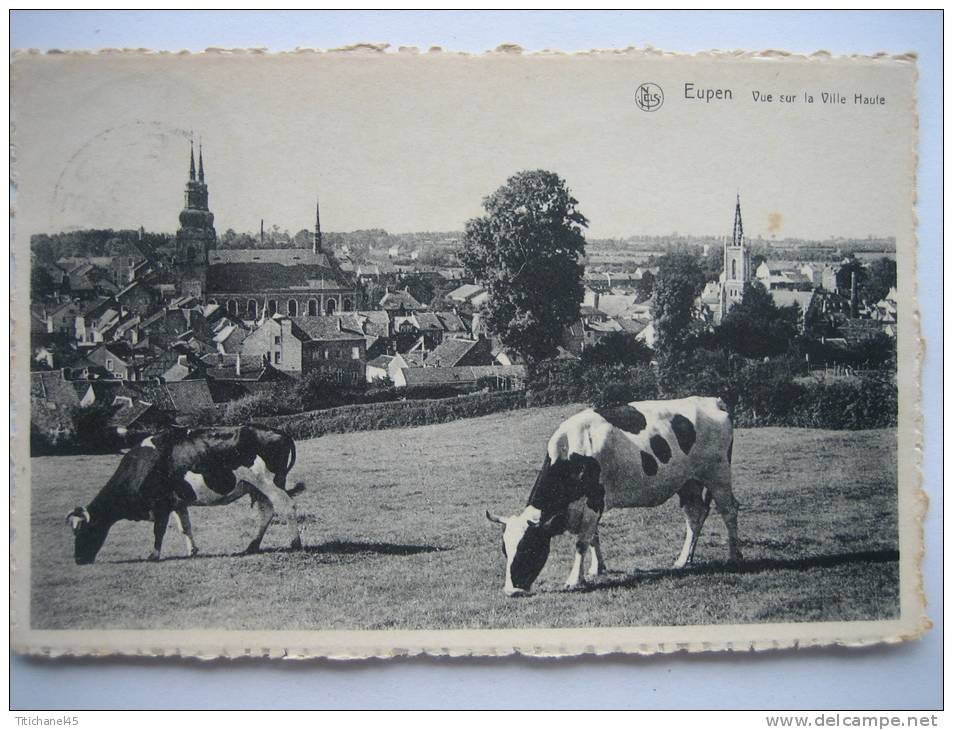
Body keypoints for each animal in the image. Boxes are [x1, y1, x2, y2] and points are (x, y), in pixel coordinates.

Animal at [65, 420, 304, 564]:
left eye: (84, 530)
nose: (78, 560)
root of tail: (278, 431)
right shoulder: (177, 502)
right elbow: (185, 527)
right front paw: (192, 551)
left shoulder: (161, 503)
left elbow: (158, 530)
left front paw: (153, 555)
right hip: (258, 487)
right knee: (266, 512)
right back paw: (252, 546)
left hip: (270, 483)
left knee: (287, 507)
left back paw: (295, 543)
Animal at [488, 396, 740, 596]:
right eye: (504, 550)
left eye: (529, 548)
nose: (511, 591)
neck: (571, 453)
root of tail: (712, 400)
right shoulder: (588, 505)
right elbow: (593, 537)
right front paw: (597, 569)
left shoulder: (593, 500)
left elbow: (581, 542)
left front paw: (574, 580)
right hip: (688, 483)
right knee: (695, 516)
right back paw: (683, 560)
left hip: (717, 474)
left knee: (729, 510)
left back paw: (733, 556)